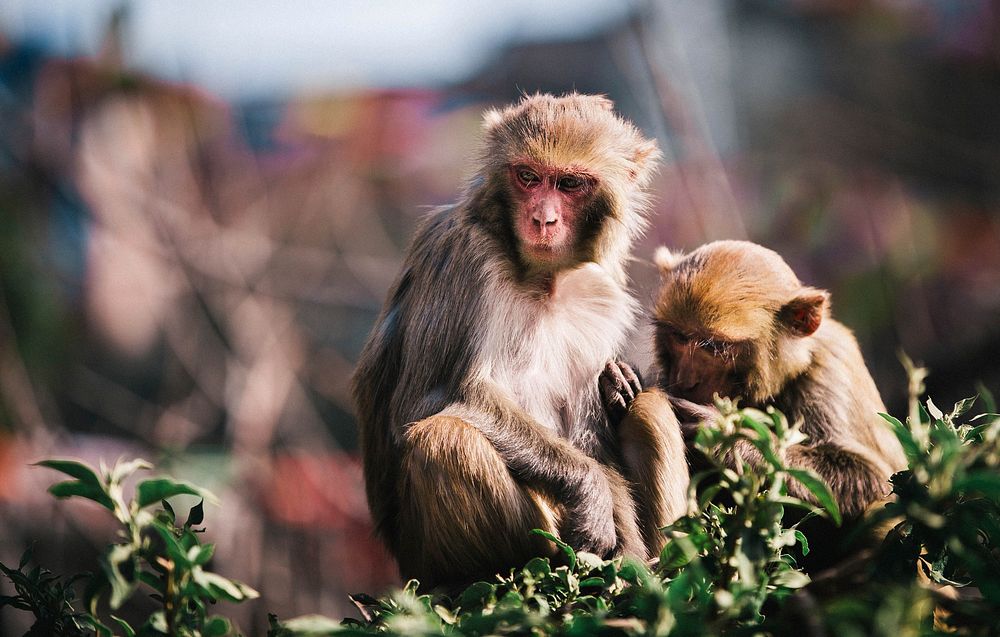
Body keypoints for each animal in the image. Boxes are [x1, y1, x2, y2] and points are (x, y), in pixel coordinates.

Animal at [352, 92, 688, 588]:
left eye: (569, 184)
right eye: (528, 177)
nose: (542, 219)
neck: (542, 280)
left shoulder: (599, 293)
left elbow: (592, 435)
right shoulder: (464, 256)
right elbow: (427, 400)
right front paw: (588, 488)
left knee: (649, 406)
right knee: (448, 439)